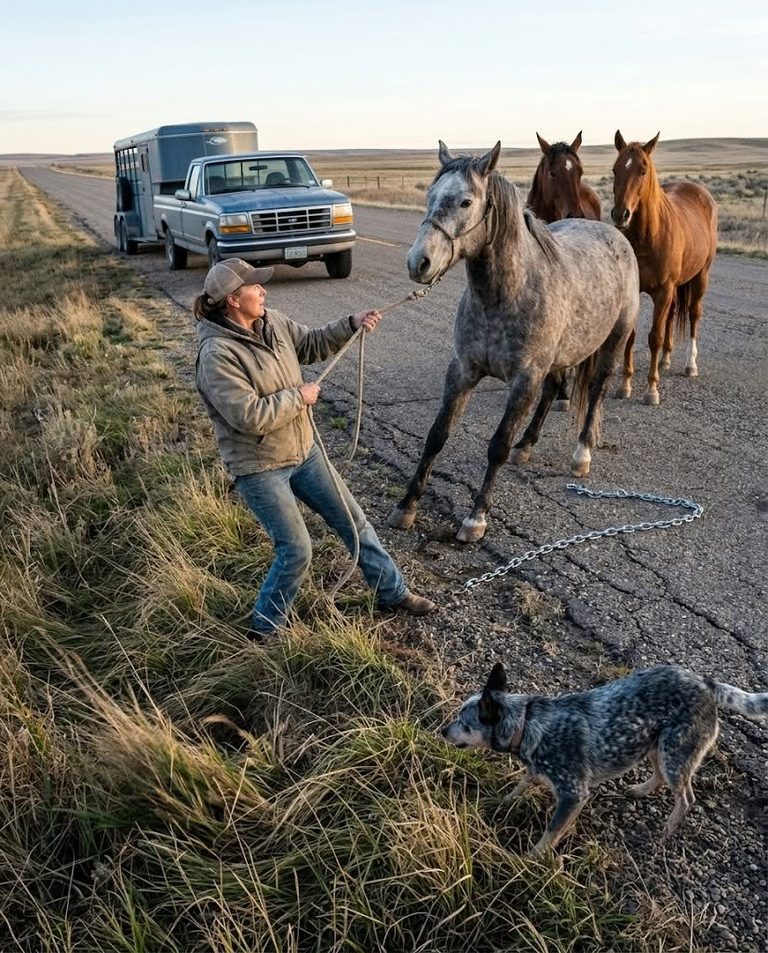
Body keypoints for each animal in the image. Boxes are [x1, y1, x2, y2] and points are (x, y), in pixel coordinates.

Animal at [611, 131, 718, 405]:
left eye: (642, 170)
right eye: (615, 169)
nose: (620, 214)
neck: (649, 236)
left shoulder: (663, 291)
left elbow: (654, 338)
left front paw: (651, 389)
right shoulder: (639, 290)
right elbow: (632, 337)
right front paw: (625, 385)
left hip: (700, 278)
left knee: (693, 314)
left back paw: (690, 365)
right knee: (670, 316)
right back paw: (665, 359)